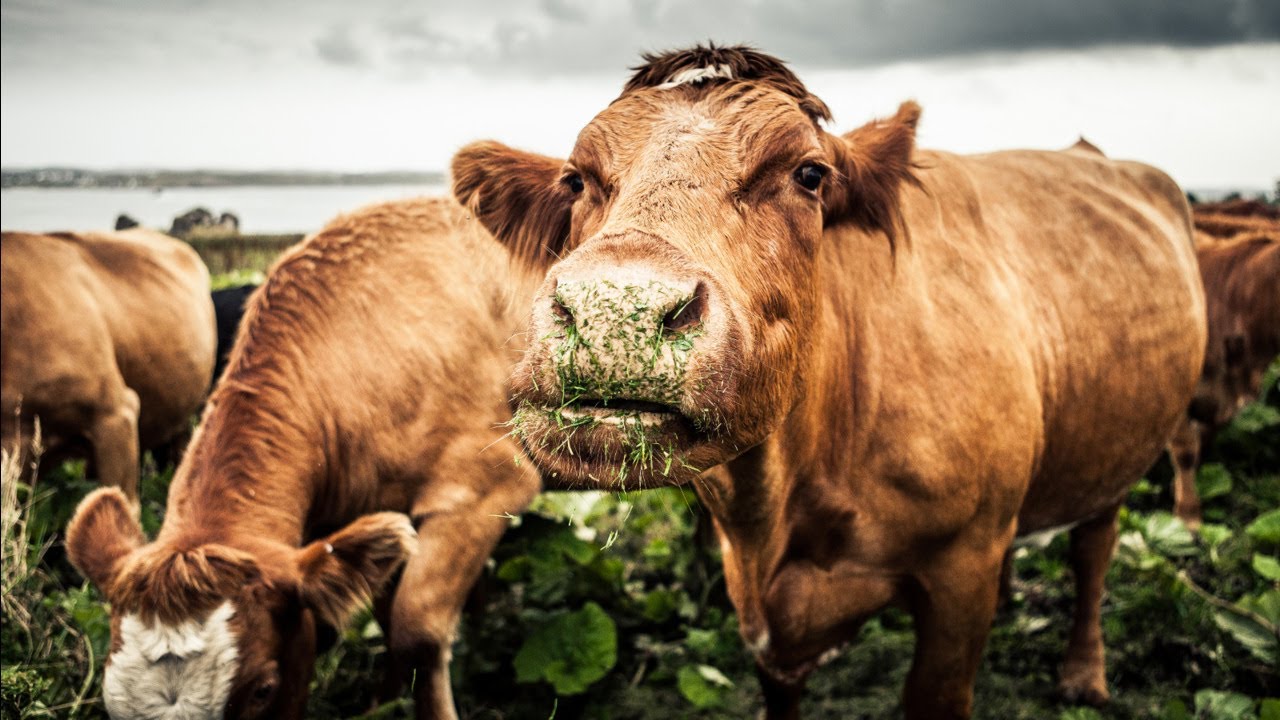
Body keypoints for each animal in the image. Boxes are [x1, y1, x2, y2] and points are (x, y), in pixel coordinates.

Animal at [64, 197, 543, 719]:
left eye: (262, 689)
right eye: (113, 704)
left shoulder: (489, 484)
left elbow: (416, 632)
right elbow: (388, 619)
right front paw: (381, 704)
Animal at [451, 45, 1207, 719]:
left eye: (809, 174)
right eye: (575, 181)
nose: (616, 310)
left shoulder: (961, 569)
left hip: (1118, 448)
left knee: (1094, 547)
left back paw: (1084, 674)